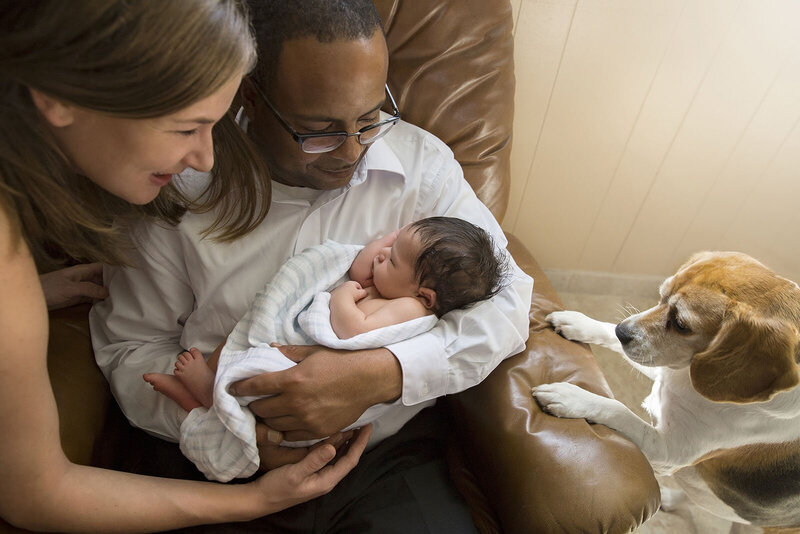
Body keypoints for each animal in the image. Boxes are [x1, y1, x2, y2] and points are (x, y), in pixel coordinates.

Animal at [532, 252, 800, 532]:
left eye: (681, 324)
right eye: (661, 295)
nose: (621, 331)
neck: (689, 382)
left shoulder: (668, 451)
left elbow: (619, 410)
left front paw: (572, 397)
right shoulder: (666, 373)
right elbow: (607, 335)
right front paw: (581, 323)